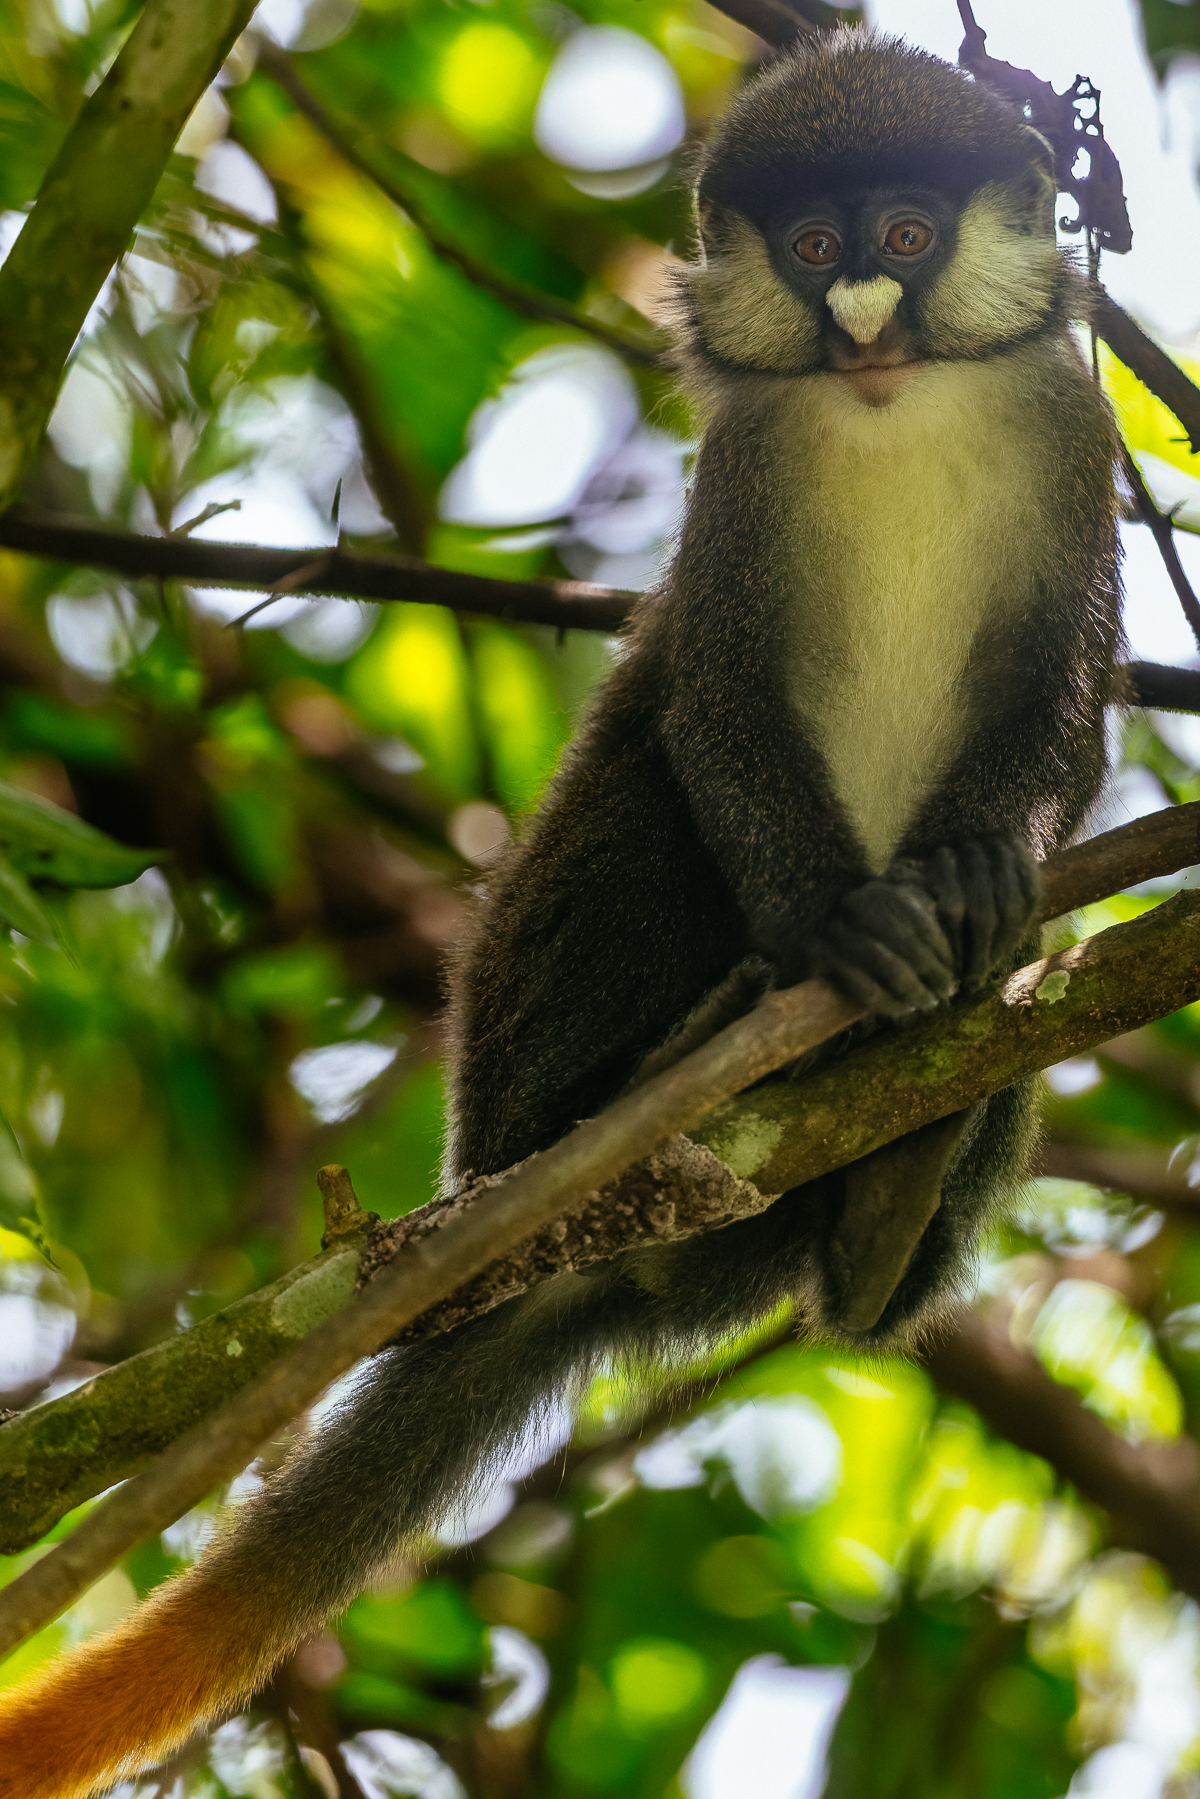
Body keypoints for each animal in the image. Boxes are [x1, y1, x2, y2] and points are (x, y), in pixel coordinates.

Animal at [0, 31, 1122, 1798]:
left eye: (907, 233)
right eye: (816, 247)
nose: (863, 317)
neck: (895, 413)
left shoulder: (1072, 444)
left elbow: (1070, 715)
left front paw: (986, 868)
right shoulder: (739, 495)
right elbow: (712, 703)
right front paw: (837, 931)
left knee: (979, 1082)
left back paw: (889, 1199)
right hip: (524, 1060)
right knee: (638, 785)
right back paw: (674, 1067)